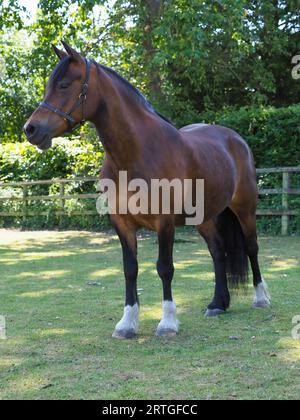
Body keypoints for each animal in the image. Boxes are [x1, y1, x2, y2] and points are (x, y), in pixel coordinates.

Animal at [24, 41, 272, 338]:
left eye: (63, 84)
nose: (31, 129)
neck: (136, 153)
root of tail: (235, 138)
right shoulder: (122, 222)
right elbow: (130, 269)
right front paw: (127, 323)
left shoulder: (164, 223)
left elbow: (165, 268)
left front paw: (167, 323)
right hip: (204, 218)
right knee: (217, 252)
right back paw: (217, 304)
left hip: (245, 209)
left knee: (251, 247)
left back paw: (261, 298)